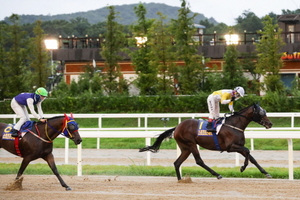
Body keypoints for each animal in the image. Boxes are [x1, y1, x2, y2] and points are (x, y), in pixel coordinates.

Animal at [139, 104, 274, 180]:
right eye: (261, 112)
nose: (270, 124)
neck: (234, 125)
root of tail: (177, 127)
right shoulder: (230, 147)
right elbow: (247, 151)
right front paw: (242, 167)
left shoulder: (238, 146)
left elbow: (251, 157)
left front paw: (266, 173)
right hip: (191, 144)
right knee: (199, 161)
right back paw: (217, 175)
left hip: (185, 148)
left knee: (177, 163)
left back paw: (180, 180)